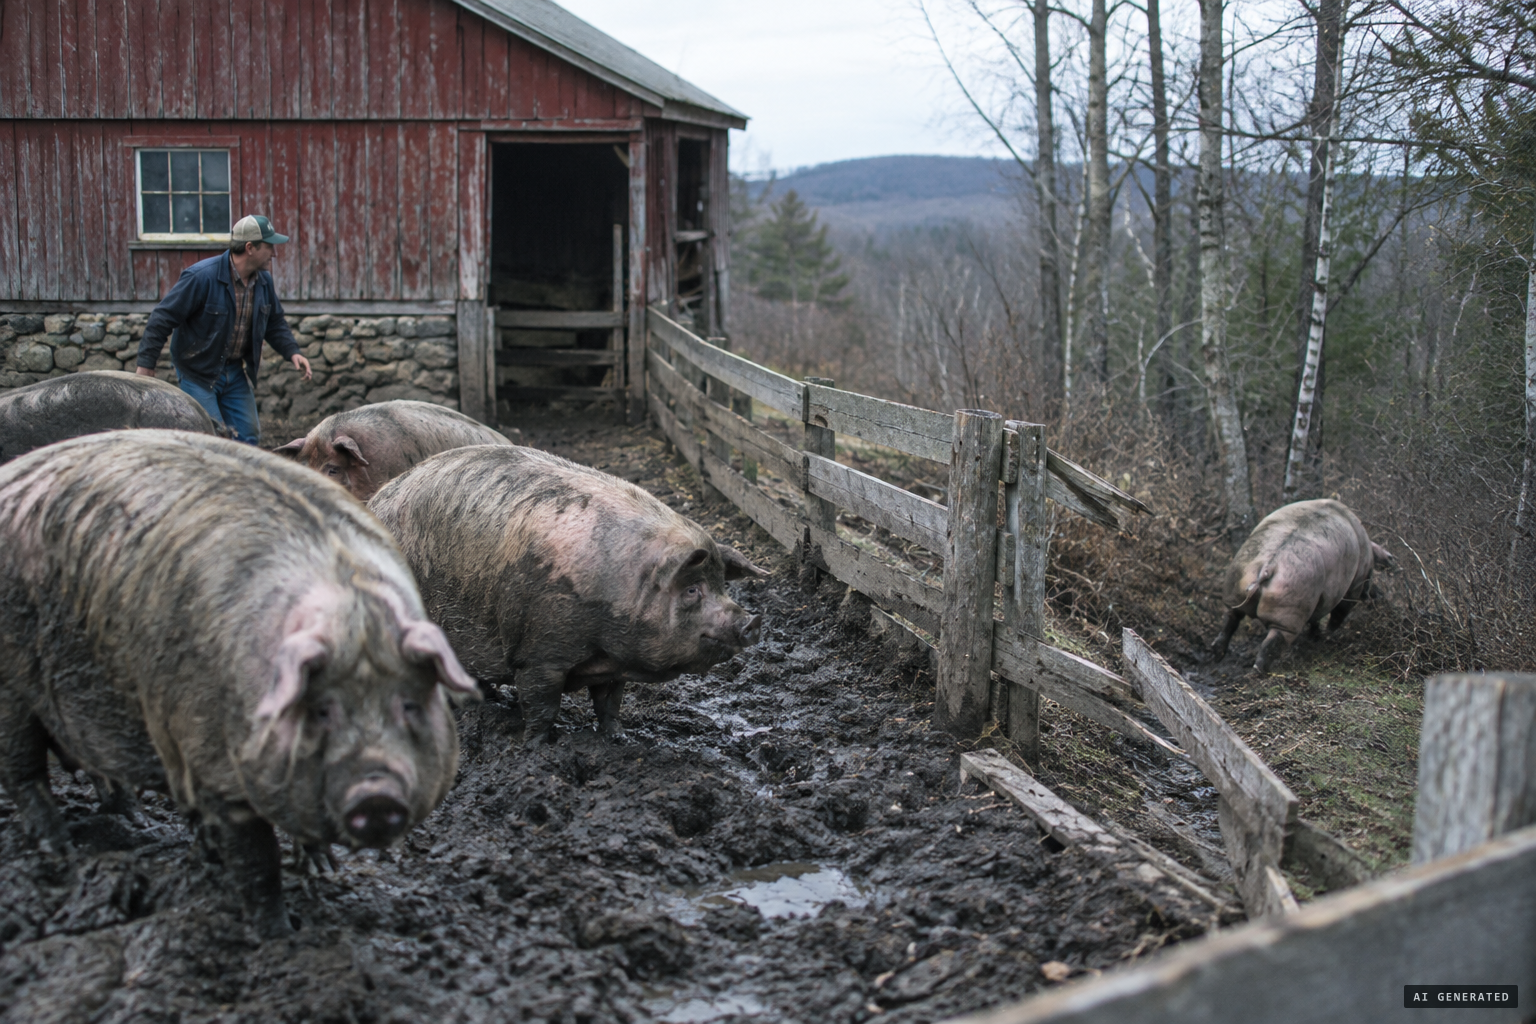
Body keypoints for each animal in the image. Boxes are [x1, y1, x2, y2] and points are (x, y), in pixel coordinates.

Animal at [0, 430, 478, 939]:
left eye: (408, 704)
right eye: (320, 710)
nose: (376, 791)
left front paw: (324, 871)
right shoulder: (213, 759)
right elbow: (257, 860)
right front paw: (278, 935)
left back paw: (138, 820)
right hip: (10, 692)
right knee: (24, 774)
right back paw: (62, 852)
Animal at [368, 444, 766, 745]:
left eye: (723, 585)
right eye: (692, 590)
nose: (751, 620)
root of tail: (373, 501)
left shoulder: (614, 666)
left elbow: (610, 704)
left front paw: (618, 739)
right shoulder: (539, 652)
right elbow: (542, 704)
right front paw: (535, 746)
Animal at [1210, 498, 1397, 673]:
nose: (1380, 596)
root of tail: (1268, 567)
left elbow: (1315, 618)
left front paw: (1317, 636)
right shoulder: (1353, 586)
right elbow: (1338, 612)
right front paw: (1327, 636)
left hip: (1238, 579)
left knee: (1231, 617)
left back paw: (1217, 654)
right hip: (1289, 602)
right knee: (1273, 639)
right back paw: (1259, 672)